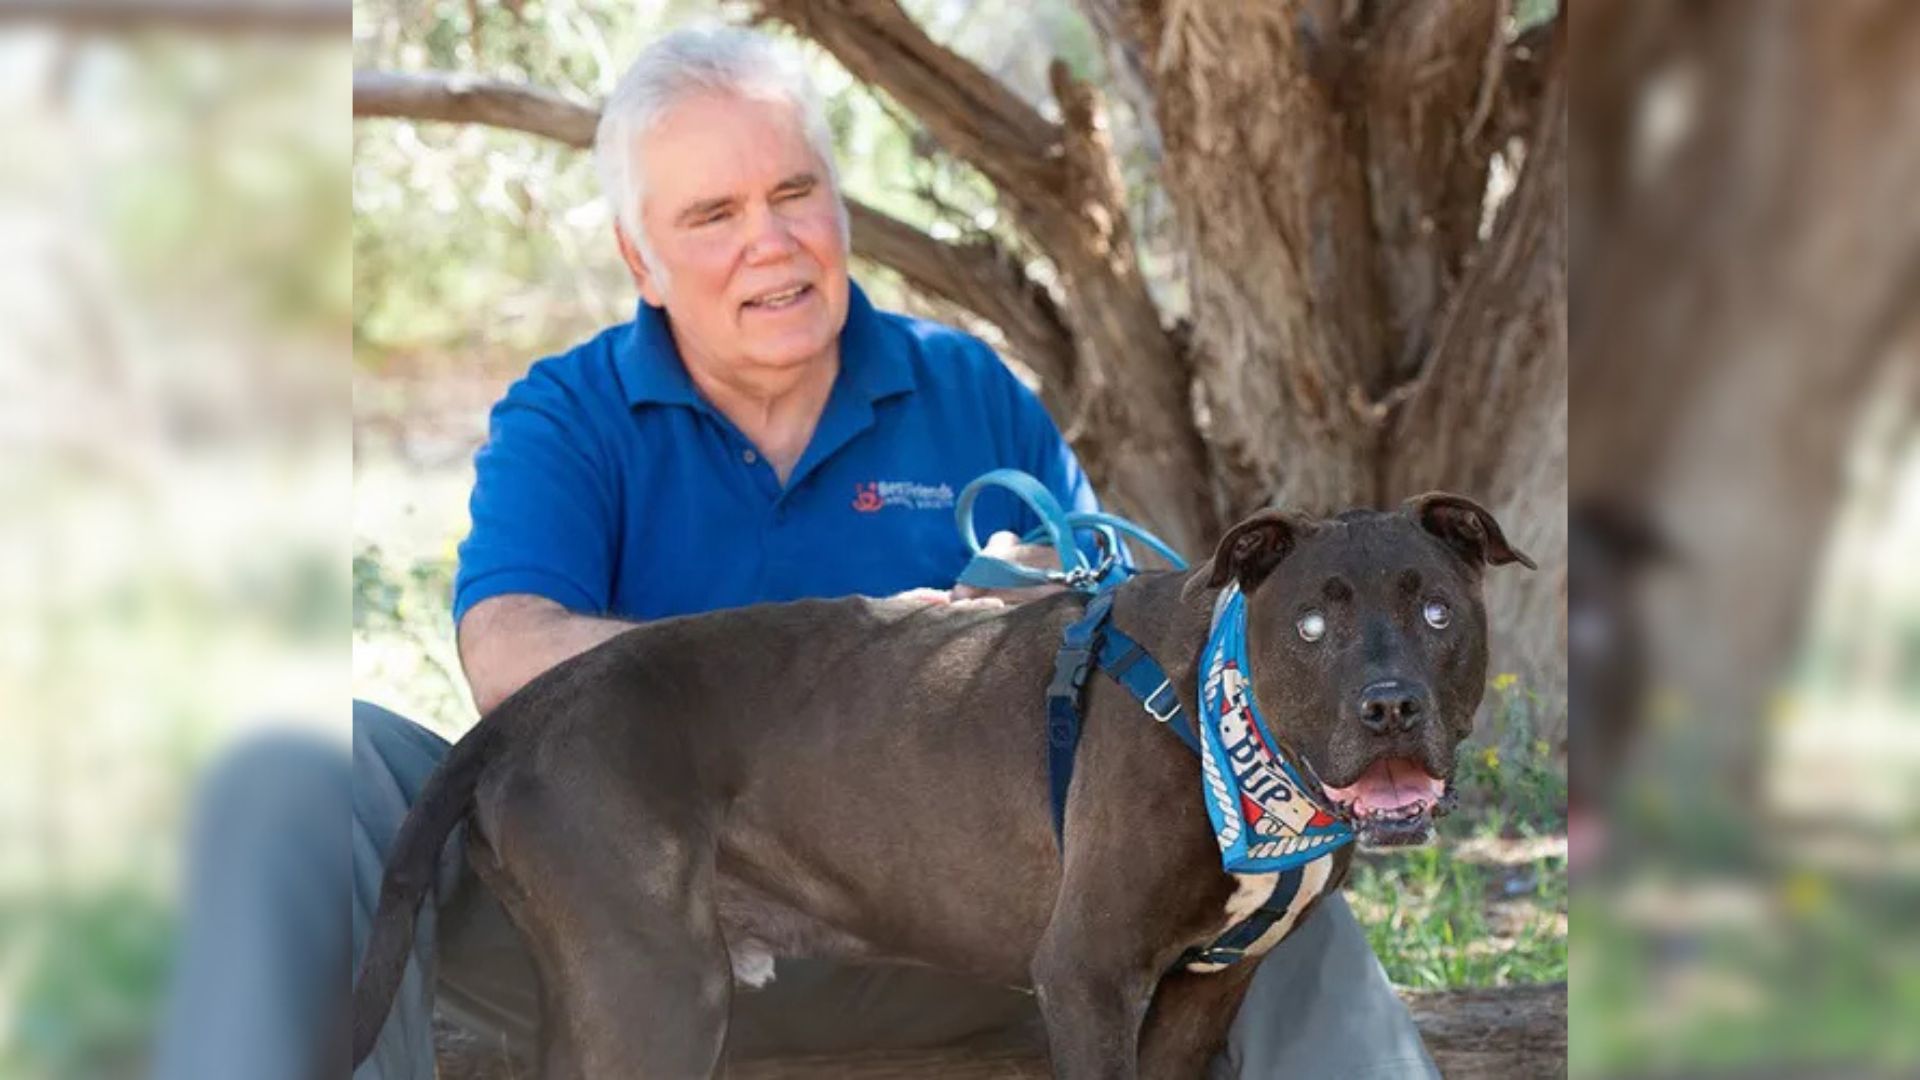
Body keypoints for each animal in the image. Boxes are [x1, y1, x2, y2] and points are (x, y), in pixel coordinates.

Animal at [353, 491, 1536, 1068]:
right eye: (1313, 625)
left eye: (1437, 611)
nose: (1390, 707)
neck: (1221, 722)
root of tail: (526, 709)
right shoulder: (1088, 975)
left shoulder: (1205, 990)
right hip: (656, 991)